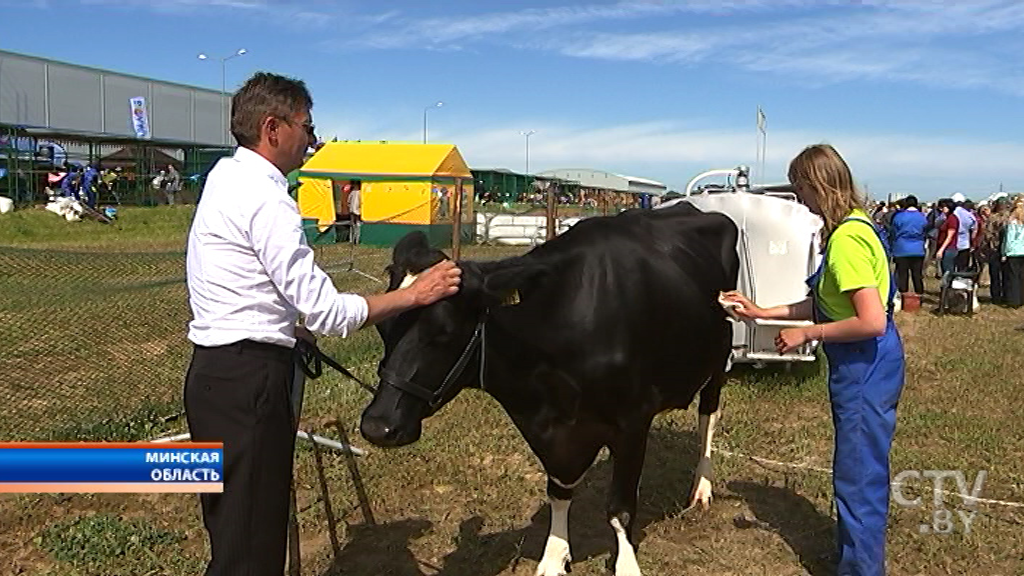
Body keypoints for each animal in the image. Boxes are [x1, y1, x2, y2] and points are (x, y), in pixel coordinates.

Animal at [358, 202, 737, 573]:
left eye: (444, 333)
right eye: (382, 327)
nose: (377, 426)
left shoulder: (632, 420)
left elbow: (620, 508)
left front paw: (626, 565)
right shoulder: (545, 427)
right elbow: (558, 491)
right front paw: (554, 556)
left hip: (721, 354)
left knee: (709, 414)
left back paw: (702, 487)